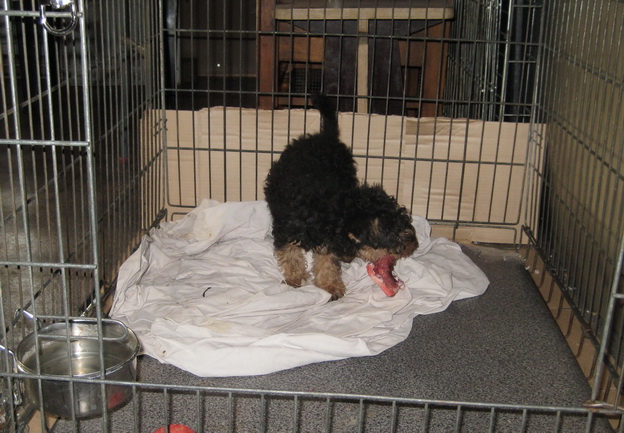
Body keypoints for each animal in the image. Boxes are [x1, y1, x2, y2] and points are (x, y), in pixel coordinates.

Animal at [264, 95, 418, 300]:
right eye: (394, 234)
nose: (413, 244)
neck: (338, 208)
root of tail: (324, 137)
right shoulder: (287, 228)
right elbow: (290, 253)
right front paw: (295, 278)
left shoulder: (329, 238)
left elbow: (327, 260)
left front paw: (330, 285)